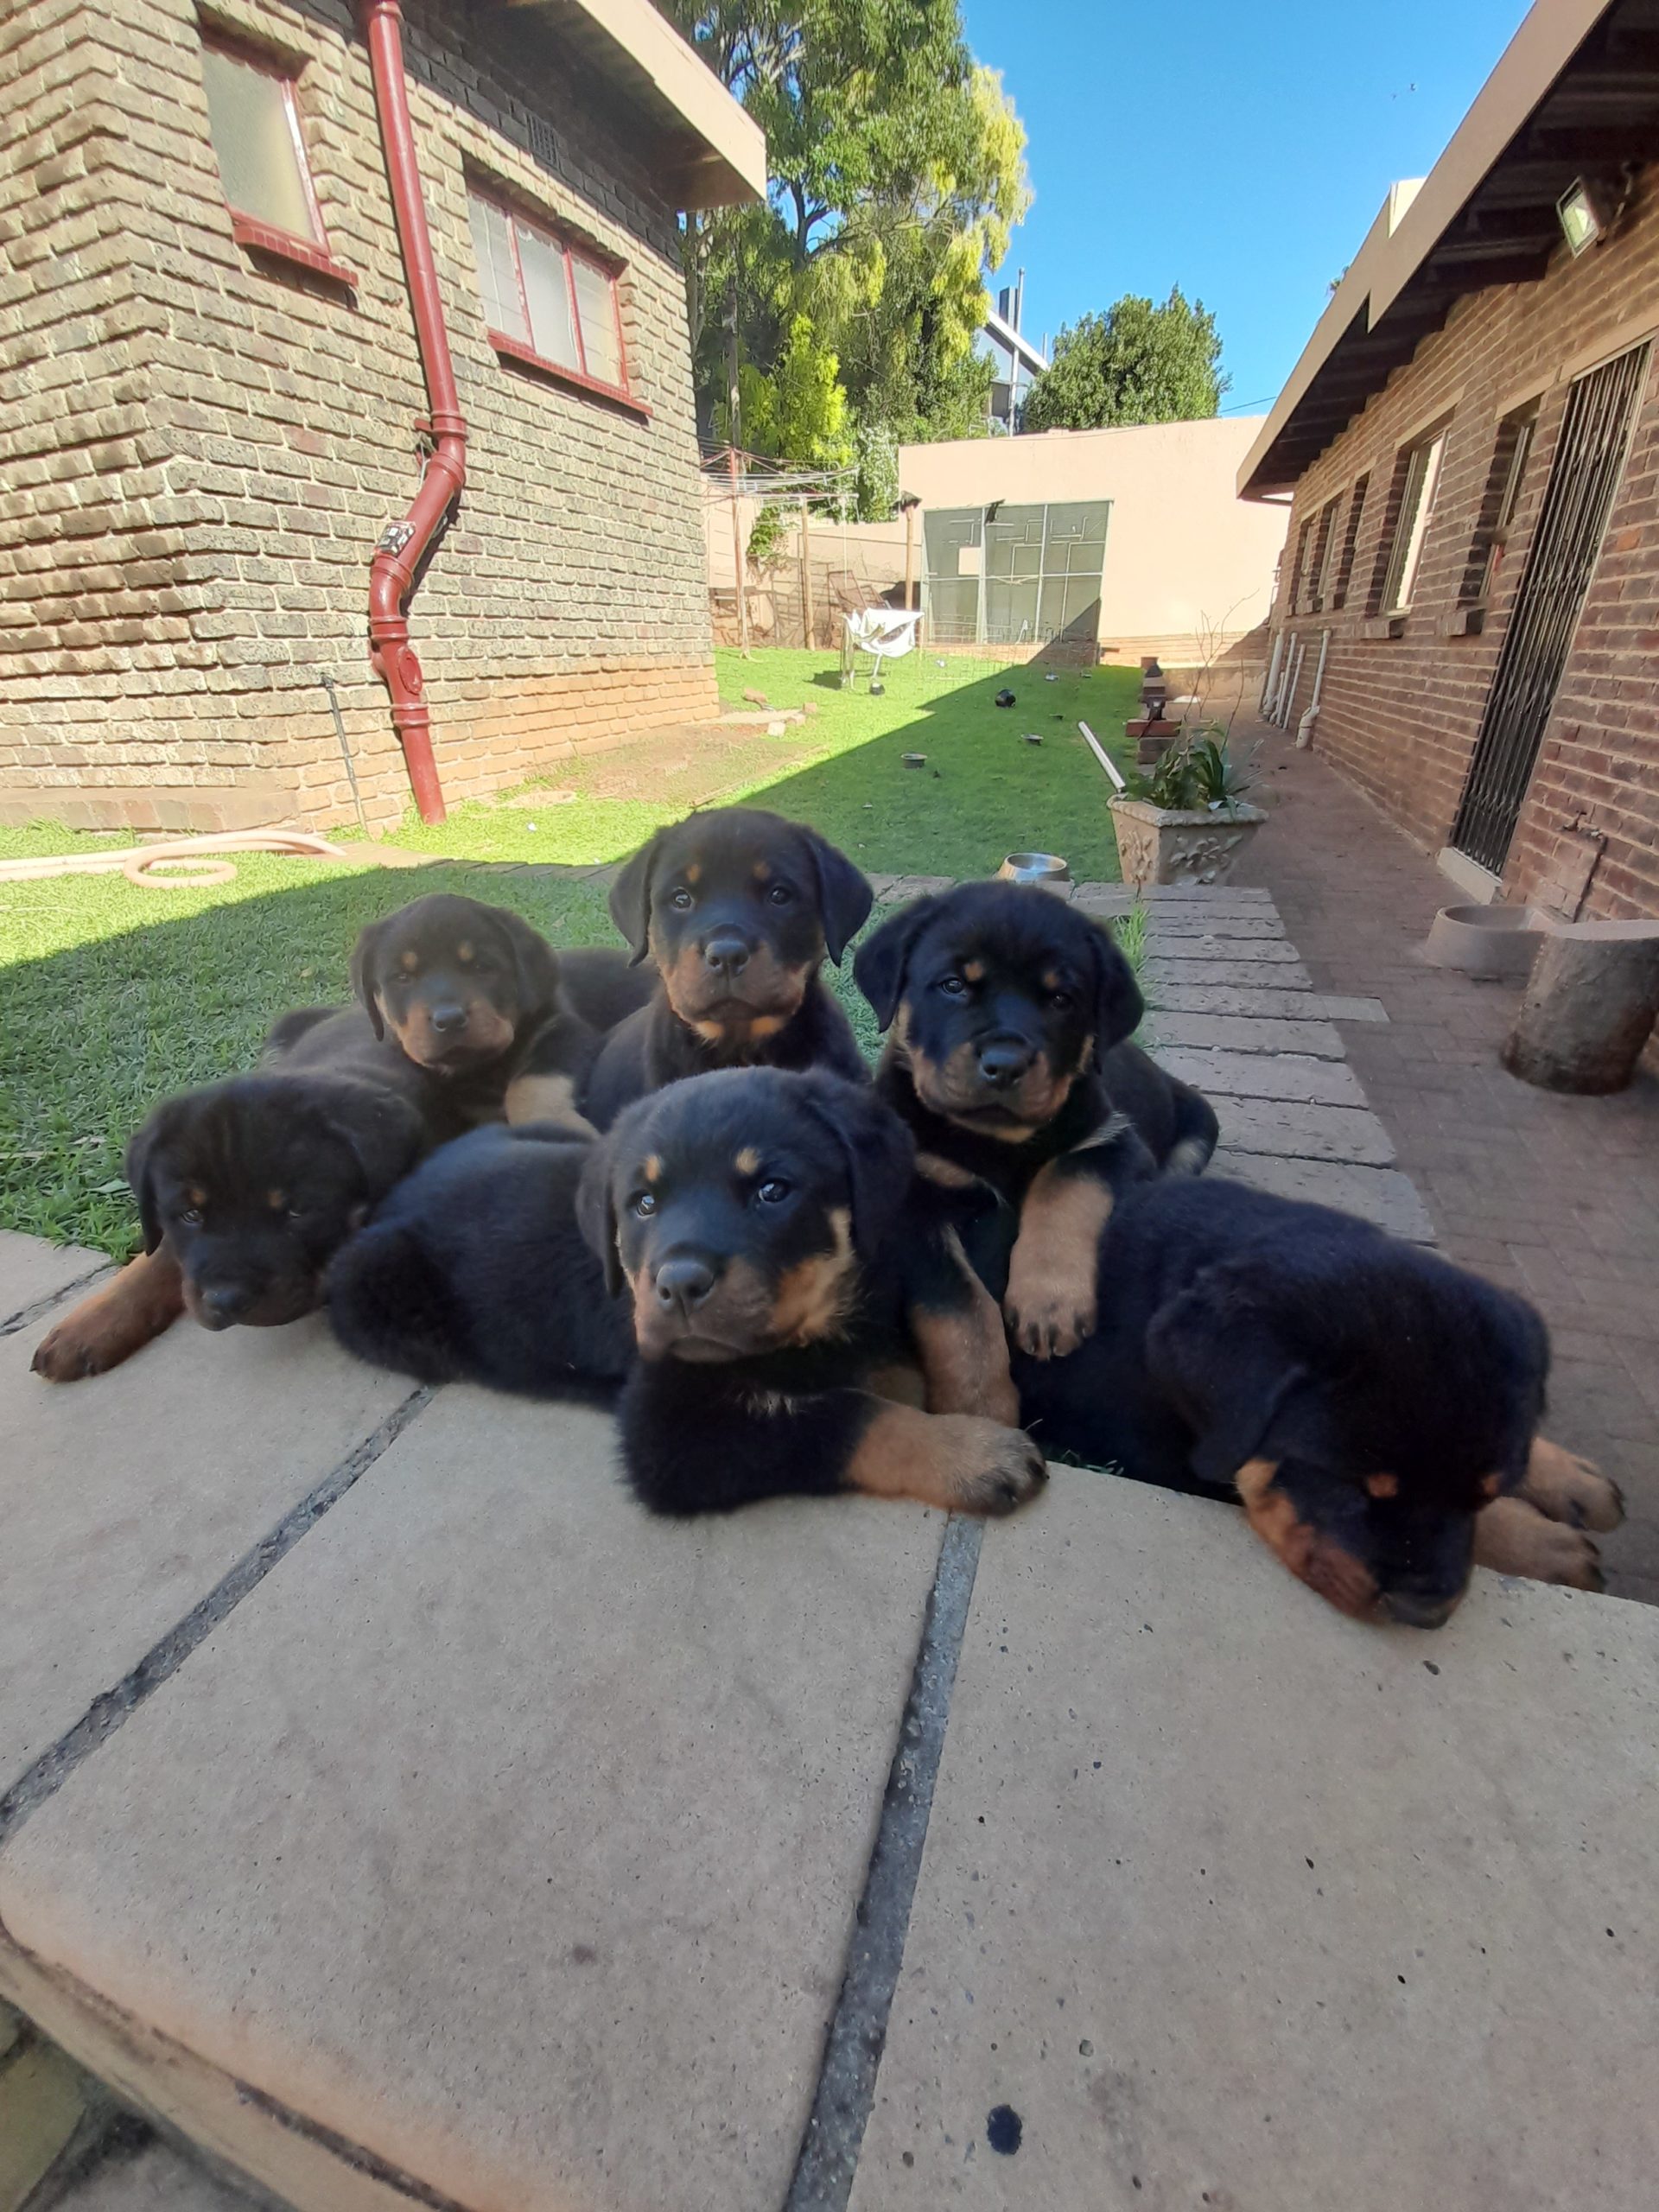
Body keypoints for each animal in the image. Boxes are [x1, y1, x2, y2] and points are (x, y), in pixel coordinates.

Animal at [579, 1071, 1052, 1522]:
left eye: (772, 1190)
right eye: (644, 1203)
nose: (679, 1285)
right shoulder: (667, 1433)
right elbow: (848, 1415)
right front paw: (976, 1452)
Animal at [858, 880, 1221, 1397]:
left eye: (1061, 999)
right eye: (953, 986)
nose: (1005, 1064)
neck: (997, 1141)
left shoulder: (1111, 1140)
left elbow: (1065, 1180)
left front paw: (1050, 1304)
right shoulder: (917, 1201)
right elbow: (961, 1314)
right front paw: (980, 1404)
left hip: (1199, 1126)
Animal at [1008, 1176, 1628, 1628]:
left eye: (1485, 1491)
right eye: (1351, 1486)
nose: (1423, 1613)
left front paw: (1572, 1479)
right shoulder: (1182, 1465)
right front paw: (1550, 1546)